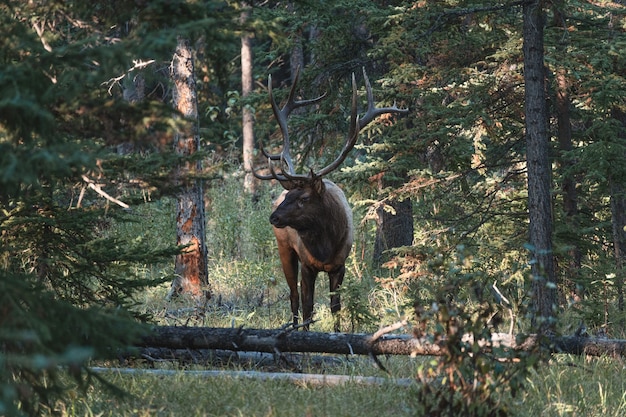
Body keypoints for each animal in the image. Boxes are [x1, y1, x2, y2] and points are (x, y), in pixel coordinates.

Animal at [255, 66, 408, 330]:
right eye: (290, 195)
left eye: (304, 198)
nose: (273, 217)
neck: (325, 247)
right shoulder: (308, 265)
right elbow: (308, 306)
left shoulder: (340, 265)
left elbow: (336, 307)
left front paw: (337, 333)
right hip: (284, 247)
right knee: (293, 297)